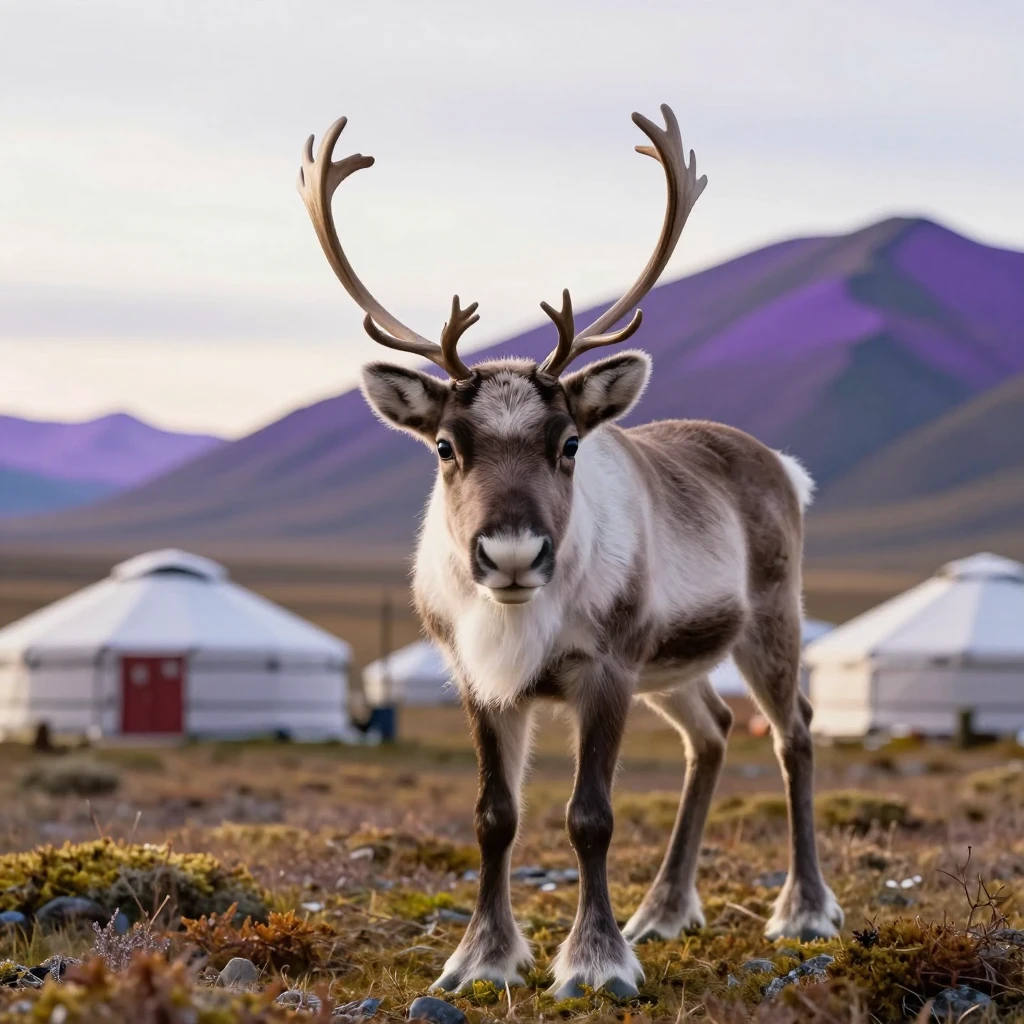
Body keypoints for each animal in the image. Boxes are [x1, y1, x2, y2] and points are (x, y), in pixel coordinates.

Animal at [297, 105, 843, 1000]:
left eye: (569, 443)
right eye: (445, 446)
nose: (512, 552)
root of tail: (782, 465)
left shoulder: (607, 667)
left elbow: (591, 816)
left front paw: (594, 960)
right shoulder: (479, 679)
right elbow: (495, 816)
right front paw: (481, 956)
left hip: (769, 622)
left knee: (791, 732)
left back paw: (802, 909)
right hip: (676, 664)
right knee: (714, 732)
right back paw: (664, 910)